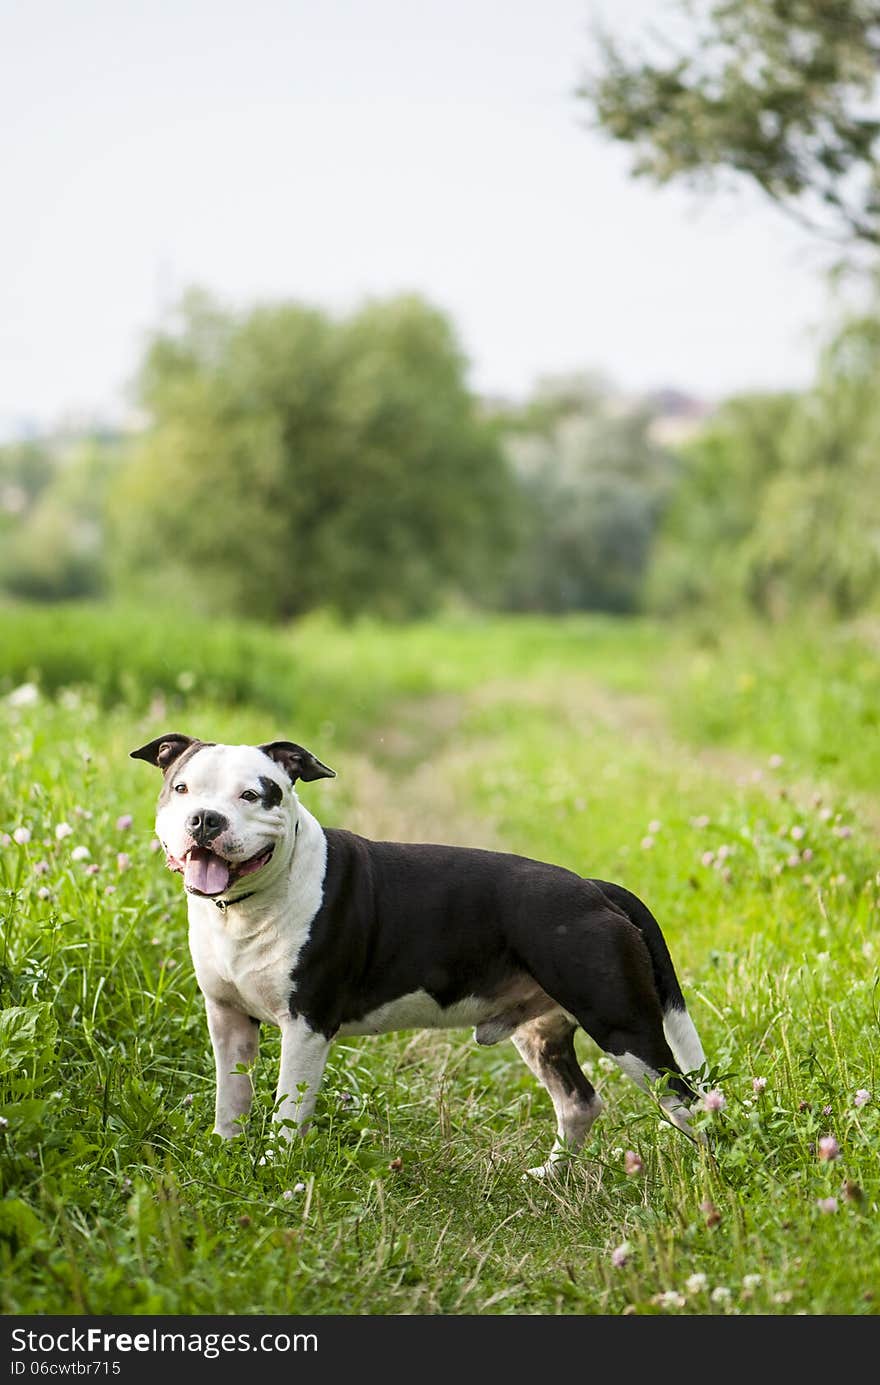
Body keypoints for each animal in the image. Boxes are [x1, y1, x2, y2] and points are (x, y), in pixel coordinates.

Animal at [132, 731, 709, 1174]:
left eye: (253, 795)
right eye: (181, 787)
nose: (205, 819)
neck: (247, 906)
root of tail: (595, 888)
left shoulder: (306, 1025)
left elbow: (287, 1113)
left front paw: (273, 1172)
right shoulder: (227, 1019)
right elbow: (230, 1100)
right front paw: (224, 1155)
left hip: (624, 1027)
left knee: (690, 1104)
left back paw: (710, 1178)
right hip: (540, 1032)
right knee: (579, 1103)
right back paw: (549, 1176)